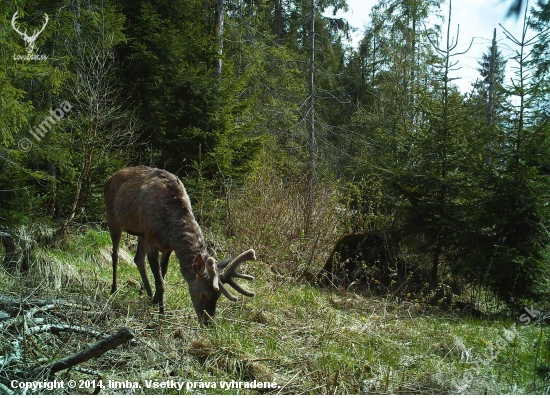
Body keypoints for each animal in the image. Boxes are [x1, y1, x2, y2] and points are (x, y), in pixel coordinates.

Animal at [105, 166, 258, 324]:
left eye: (218, 296)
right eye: (204, 294)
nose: (208, 322)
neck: (171, 229)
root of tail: (110, 178)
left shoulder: (166, 247)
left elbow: (162, 274)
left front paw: (156, 301)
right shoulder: (152, 241)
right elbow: (160, 283)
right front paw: (162, 315)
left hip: (141, 233)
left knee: (138, 259)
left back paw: (149, 295)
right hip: (113, 218)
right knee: (115, 254)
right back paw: (113, 289)